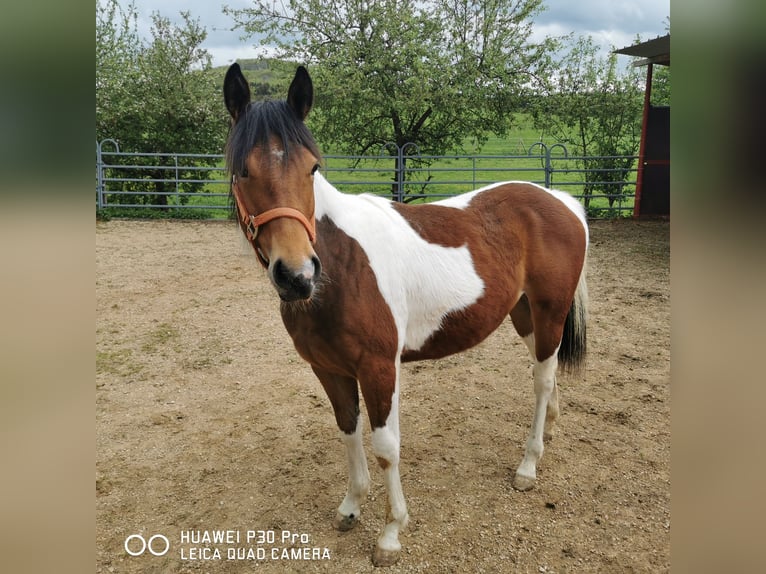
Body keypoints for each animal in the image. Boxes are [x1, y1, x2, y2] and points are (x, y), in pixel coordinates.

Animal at [225, 62, 592, 568]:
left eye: (312, 167)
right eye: (242, 170)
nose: (297, 275)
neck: (341, 268)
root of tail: (561, 200)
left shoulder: (379, 368)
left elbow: (385, 447)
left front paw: (390, 533)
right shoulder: (329, 369)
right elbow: (348, 431)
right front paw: (351, 507)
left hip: (549, 310)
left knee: (540, 380)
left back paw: (528, 465)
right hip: (524, 315)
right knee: (549, 371)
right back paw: (550, 432)